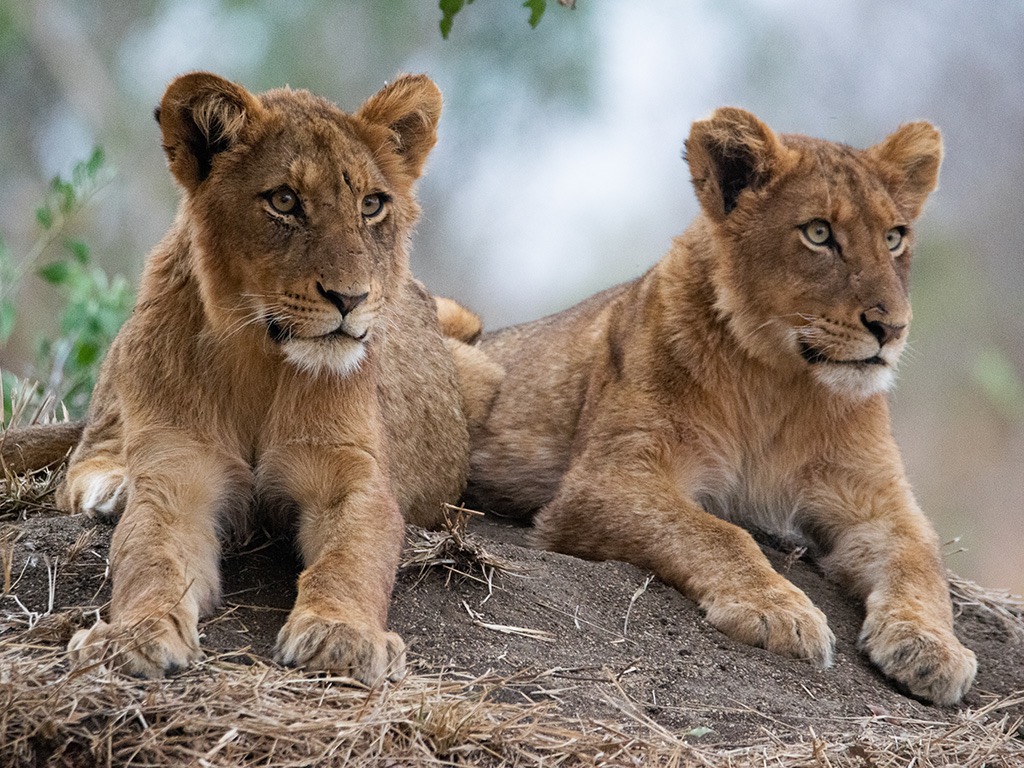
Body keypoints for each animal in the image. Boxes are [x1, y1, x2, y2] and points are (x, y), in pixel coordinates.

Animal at [1, 72, 474, 684]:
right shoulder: (177, 475)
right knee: (84, 458)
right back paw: (115, 488)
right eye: (284, 201)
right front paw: (132, 636)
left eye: (372, 204)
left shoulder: (353, 475)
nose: (351, 299)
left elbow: (351, 558)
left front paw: (342, 636)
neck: (261, 358)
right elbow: (149, 556)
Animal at [448, 108, 977, 706]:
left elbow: (921, 561)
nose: (892, 329)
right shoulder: (606, 478)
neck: (780, 379)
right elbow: (717, 532)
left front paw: (931, 646)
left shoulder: (877, 498)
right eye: (819, 233)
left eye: (894, 238)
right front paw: (776, 611)